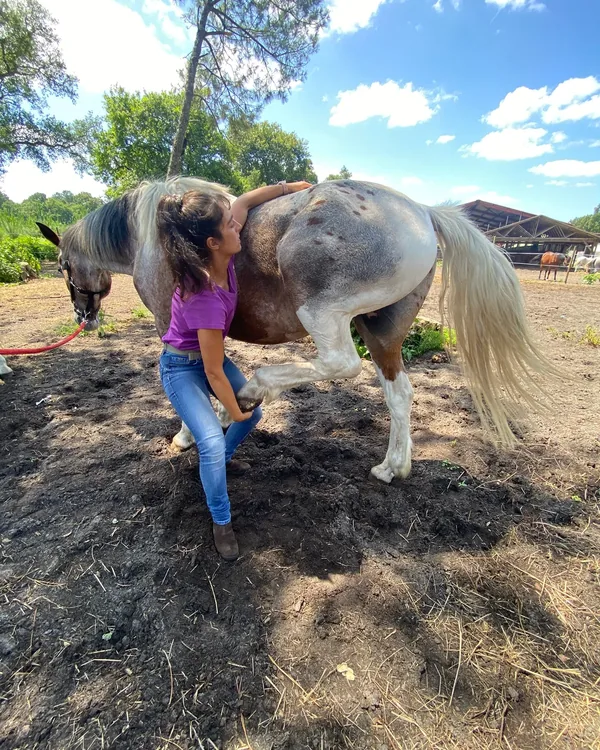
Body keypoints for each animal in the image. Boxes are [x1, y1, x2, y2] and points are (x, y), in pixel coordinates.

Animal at [37, 177, 554, 484]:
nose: (83, 316)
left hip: (325, 315)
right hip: (382, 333)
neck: (154, 233)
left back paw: (254, 390)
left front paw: (189, 433)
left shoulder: (172, 325)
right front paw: (220, 416)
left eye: (62, 265)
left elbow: (187, 379)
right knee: (399, 394)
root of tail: (423, 212)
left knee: (339, 364)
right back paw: (392, 467)